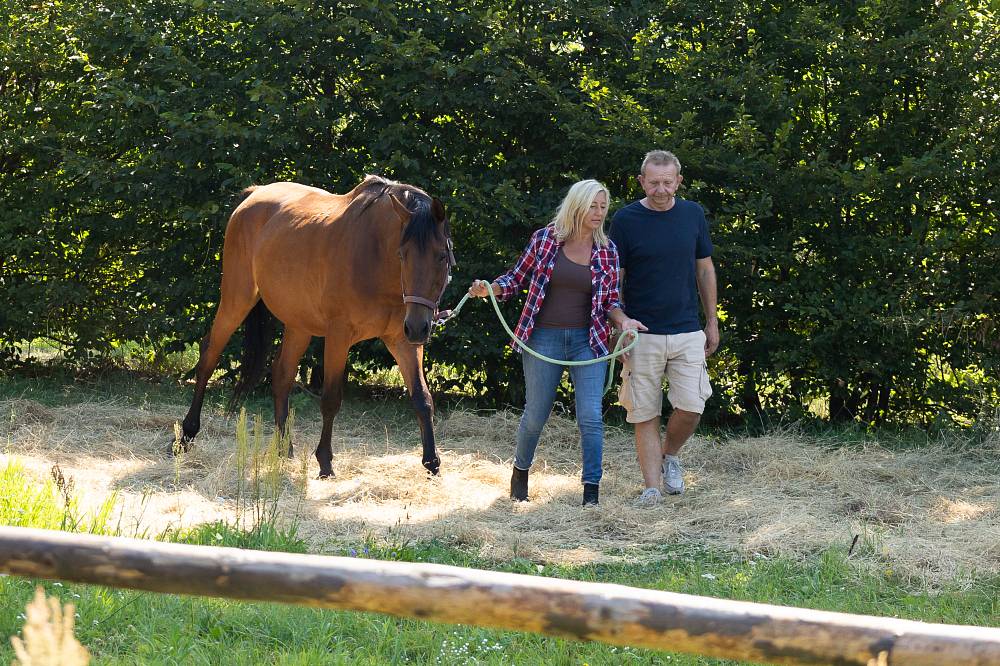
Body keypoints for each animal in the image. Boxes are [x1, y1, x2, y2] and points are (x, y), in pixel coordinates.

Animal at [179, 176, 454, 474]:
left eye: (441, 255)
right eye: (402, 255)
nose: (418, 327)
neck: (375, 259)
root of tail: (253, 195)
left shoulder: (402, 341)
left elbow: (422, 398)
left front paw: (432, 462)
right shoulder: (339, 336)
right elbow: (331, 399)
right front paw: (325, 461)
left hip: (298, 324)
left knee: (282, 374)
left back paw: (284, 448)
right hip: (236, 300)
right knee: (209, 355)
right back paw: (187, 434)